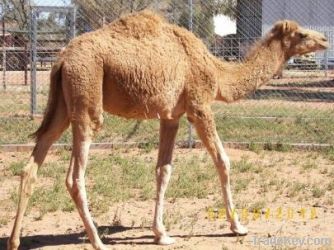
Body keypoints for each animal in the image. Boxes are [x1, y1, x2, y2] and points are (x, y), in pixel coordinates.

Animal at [6, 10, 328, 250]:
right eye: (301, 34)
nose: (324, 39)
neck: (217, 72)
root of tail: (60, 60)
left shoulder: (171, 115)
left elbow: (164, 170)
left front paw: (161, 233)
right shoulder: (199, 107)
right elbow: (223, 161)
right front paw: (237, 226)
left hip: (63, 104)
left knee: (32, 164)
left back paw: (14, 240)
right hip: (87, 99)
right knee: (74, 176)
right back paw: (98, 241)